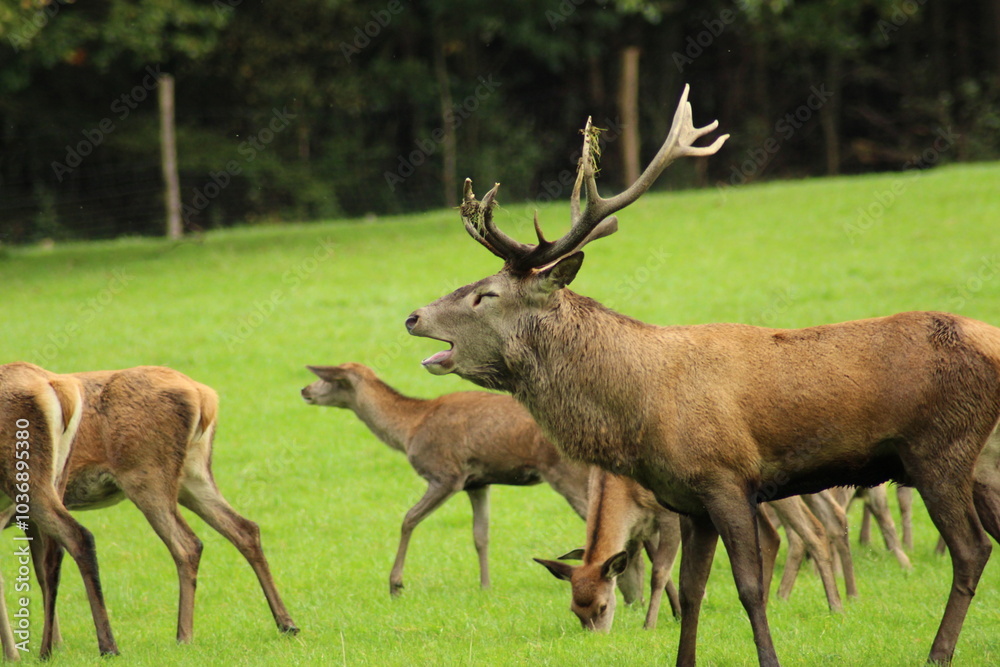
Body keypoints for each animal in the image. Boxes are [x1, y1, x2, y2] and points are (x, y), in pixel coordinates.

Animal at [0, 362, 118, 658]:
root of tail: (59, 387)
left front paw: (12, 656)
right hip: (58, 476)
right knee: (54, 554)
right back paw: (48, 648)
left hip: (28, 477)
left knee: (79, 536)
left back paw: (107, 646)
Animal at [40, 366, 298, 650]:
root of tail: (204, 396)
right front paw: (54, 643)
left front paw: (49, 645)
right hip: (192, 473)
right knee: (245, 528)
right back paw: (287, 623)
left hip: (146, 474)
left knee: (187, 544)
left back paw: (183, 635)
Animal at [302, 362, 673, 604]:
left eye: (328, 379)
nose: (304, 390)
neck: (409, 429)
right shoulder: (477, 483)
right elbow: (480, 535)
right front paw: (485, 586)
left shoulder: (446, 474)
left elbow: (408, 519)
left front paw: (396, 585)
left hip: (568, 475)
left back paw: (634, 596)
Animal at [404, 84, 1000, 666]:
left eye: (485, 295)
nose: (412, 316)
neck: (640, 411)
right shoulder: (687, 500)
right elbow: (691, 592)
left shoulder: (726, 478)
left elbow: (748, 587)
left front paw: (769, 658)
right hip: (980, 461)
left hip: (938, 450)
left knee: (972, 549)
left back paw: (938, 653)